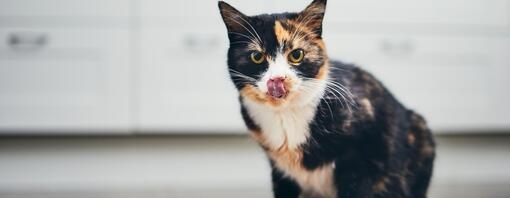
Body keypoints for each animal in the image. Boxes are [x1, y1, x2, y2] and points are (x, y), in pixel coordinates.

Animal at [217, 0, 436, 197]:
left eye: (296, 54)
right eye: (257, 57)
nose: (277, 79)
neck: (286, 115)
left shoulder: (363, 154)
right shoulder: (281, 171)